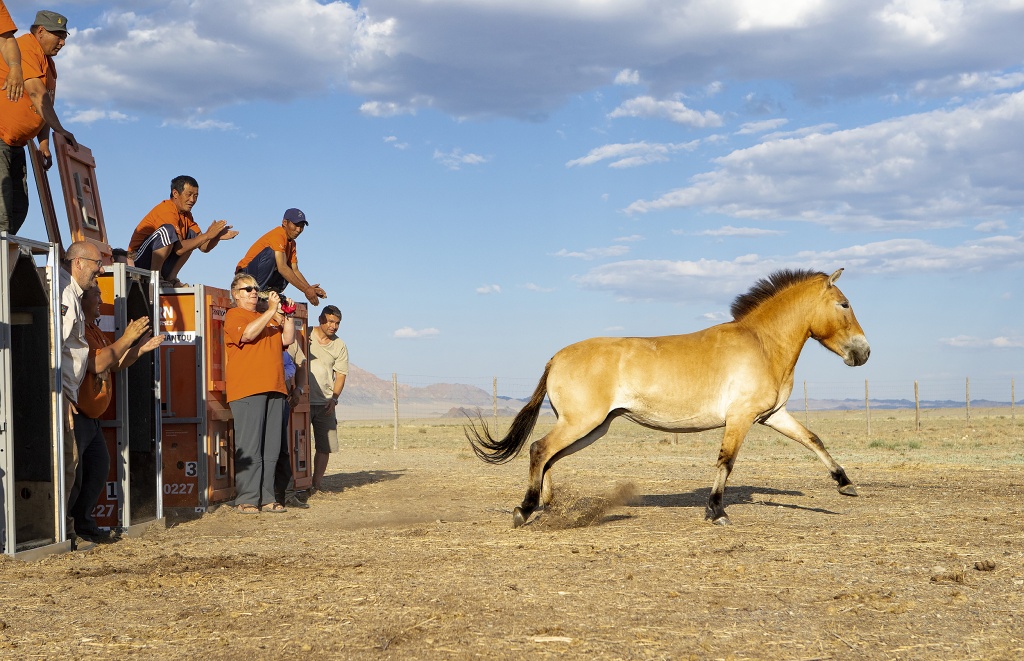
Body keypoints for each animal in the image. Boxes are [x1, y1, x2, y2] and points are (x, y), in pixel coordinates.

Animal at [468, 268, 868, 527]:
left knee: (549, 456)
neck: (762, 344)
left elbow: (813, 439)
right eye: (844, 304)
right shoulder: (739, 418)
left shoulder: (772, 415)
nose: (863, 353)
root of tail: (555, 358)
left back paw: (547, 507)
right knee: (539, 450)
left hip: (593, 427)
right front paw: (717, 512)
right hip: (582, 422)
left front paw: (846, 485)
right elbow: (726, 462)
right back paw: (525, 510)